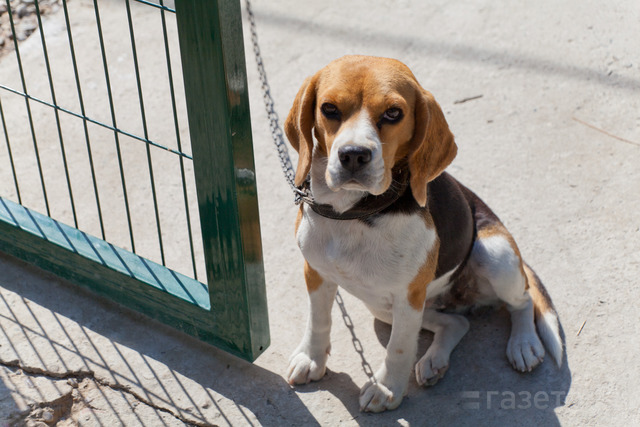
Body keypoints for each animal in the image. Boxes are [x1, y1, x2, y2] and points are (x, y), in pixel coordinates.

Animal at [284, 55, 560, 412]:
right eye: (329, 108)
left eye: (393, 113)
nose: (354, 155)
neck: (355, 214)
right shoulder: (316, 273)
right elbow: (318, 320)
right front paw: (312, 358)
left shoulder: (408, 295)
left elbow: (399, 348)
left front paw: (386, 389)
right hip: (385, 309)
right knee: (457, 323)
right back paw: (434, 361)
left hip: (495, 255)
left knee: (522, 302)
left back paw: (523, 344)